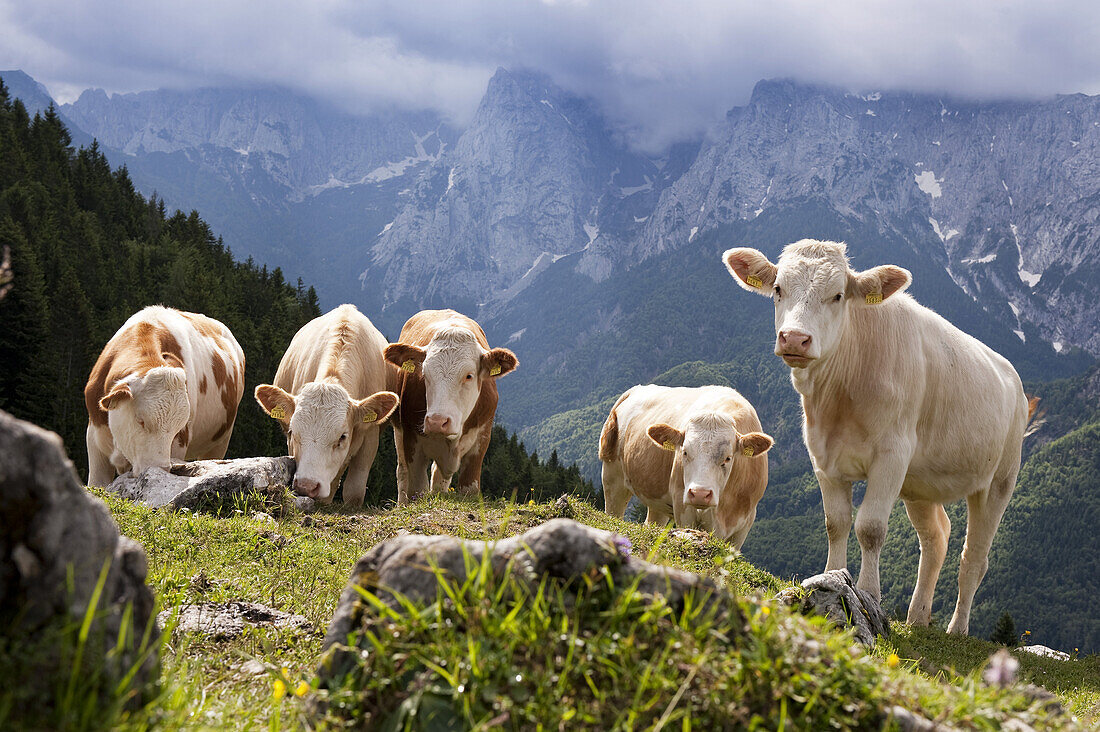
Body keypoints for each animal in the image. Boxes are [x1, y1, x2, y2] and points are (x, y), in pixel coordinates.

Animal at [86, 306, 249, 484]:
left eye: (177, 428)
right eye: (140, 421)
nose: (159, 468)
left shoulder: (180, 442)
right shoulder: (94, 439)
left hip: (220, 441)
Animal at [382, 306, 519, 501]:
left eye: (469, 376)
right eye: (424, 373)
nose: (437, 421)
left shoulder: (481, 441)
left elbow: (469, 489)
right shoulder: (411, 441)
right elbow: (417, 489)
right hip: (399, 433)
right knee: (402, 473)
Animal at [602, 383, 774, 548]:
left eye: (728, 458)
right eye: (684, 452)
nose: (700, 494)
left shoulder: (745, 522)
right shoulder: (683, 506)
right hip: (612, 475)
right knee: (613, 511)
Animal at [721, 239, 1038, 634]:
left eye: (838, 295)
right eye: (778, 289)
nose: (794, 338)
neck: (840, 398)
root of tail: (1015, 381)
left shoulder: (891, 456)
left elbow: (870, 528)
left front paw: (870, 594)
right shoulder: (823, 458)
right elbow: (836, 523)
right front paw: (831, 576)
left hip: (999, 480)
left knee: (975, 558)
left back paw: (957, 629)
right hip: (921, 484)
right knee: (936, 539)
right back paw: (918, 618)